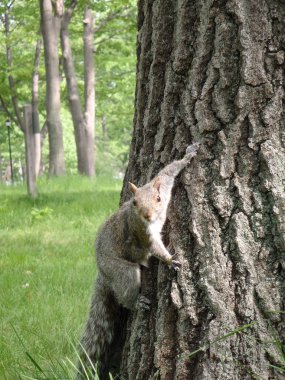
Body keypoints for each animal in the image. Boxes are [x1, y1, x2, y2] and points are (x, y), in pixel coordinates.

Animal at [75, 142, 200, 380]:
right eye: (134, 202)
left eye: (158, 199)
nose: (148, 215)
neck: (154, 219)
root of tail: (103, 273)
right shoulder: (143, 234)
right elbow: (155, 249)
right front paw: (170, 260)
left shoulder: (163, 186)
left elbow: (167, 172)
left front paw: (187, 156)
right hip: (122, 271)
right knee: (125, 293)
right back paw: (137, 302)